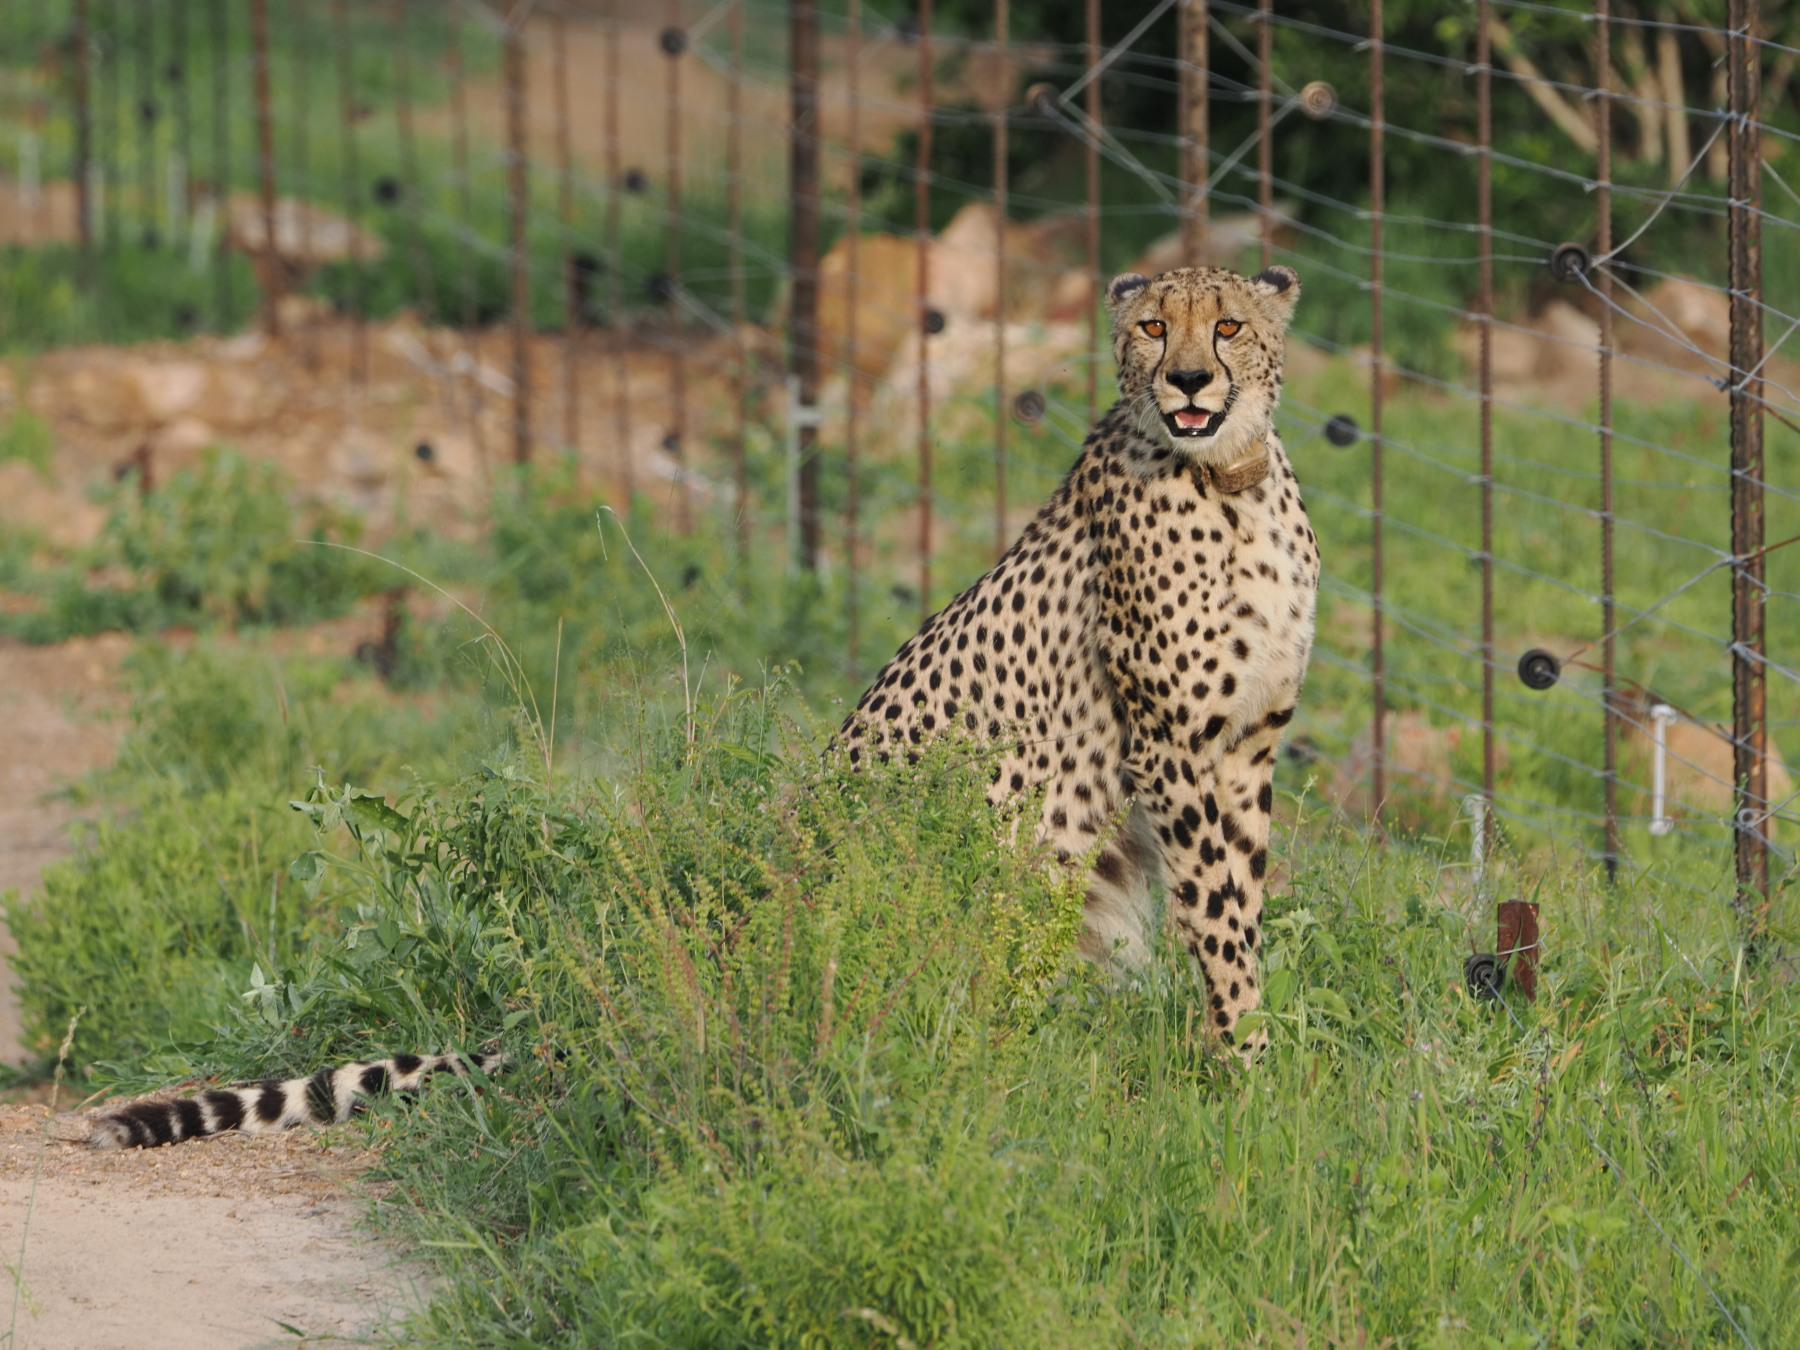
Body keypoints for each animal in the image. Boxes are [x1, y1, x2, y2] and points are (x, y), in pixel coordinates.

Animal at [840, 263, 1320, 1046]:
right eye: (1154, 326)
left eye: (1228, 326)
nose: (1189, 379)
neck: (1228, 484)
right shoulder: (1168, 745)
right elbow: (1214, 903)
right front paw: (1245, 1047)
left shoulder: (1250, 742)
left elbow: (1241, 898)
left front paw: (1246, 1032)